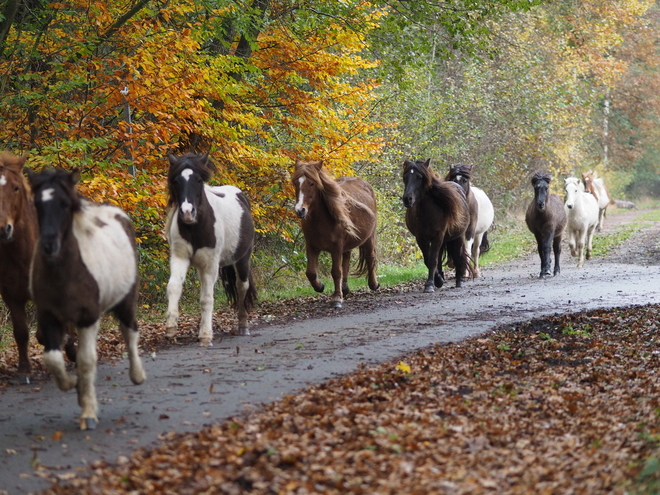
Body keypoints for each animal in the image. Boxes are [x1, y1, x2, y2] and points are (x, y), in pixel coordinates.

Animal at [27, 170, 145, 430]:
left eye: (64, 204)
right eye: (37, 203)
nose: (49, 245)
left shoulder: (88, 318)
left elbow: (87, 361)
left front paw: (88, 414)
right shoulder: (49, 316)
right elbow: (53, 358)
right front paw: (73, 384)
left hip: (125, 301)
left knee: (130, 330)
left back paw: (137, 375)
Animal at [166, 154, 256, 344]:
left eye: (199, 180)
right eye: (176, 180)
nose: (187, 212)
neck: (195, 228)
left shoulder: (210, 264)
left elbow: (207, 299)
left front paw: (206, 335)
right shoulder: (180, 258)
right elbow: (174, 286)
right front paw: (171, 328)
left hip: (242, 259)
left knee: (241, 286)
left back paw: (243, 326)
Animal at [292, 161, 378, 308]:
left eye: (312, 183)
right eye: (296, 183)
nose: (300, 210)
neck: (320, 221)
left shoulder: (336, 248)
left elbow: (336, 272)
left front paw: (337, 298)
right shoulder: (312, 246)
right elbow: (310, 272)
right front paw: (320, 286)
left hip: (369, 237)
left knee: (369, 257)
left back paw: (373, 284)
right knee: (347, 260)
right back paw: (345, 288)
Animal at [400, 159, 472, 292]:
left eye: (419, 177)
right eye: (405, 177)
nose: (407, 199)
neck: (428, 213)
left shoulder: (437, 237)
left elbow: (433, 260)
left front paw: (429, 285)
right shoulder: (421, 238)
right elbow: (428, 260)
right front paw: (438, 280)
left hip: (457, 237)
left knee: (458, 256)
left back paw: (459, 281)